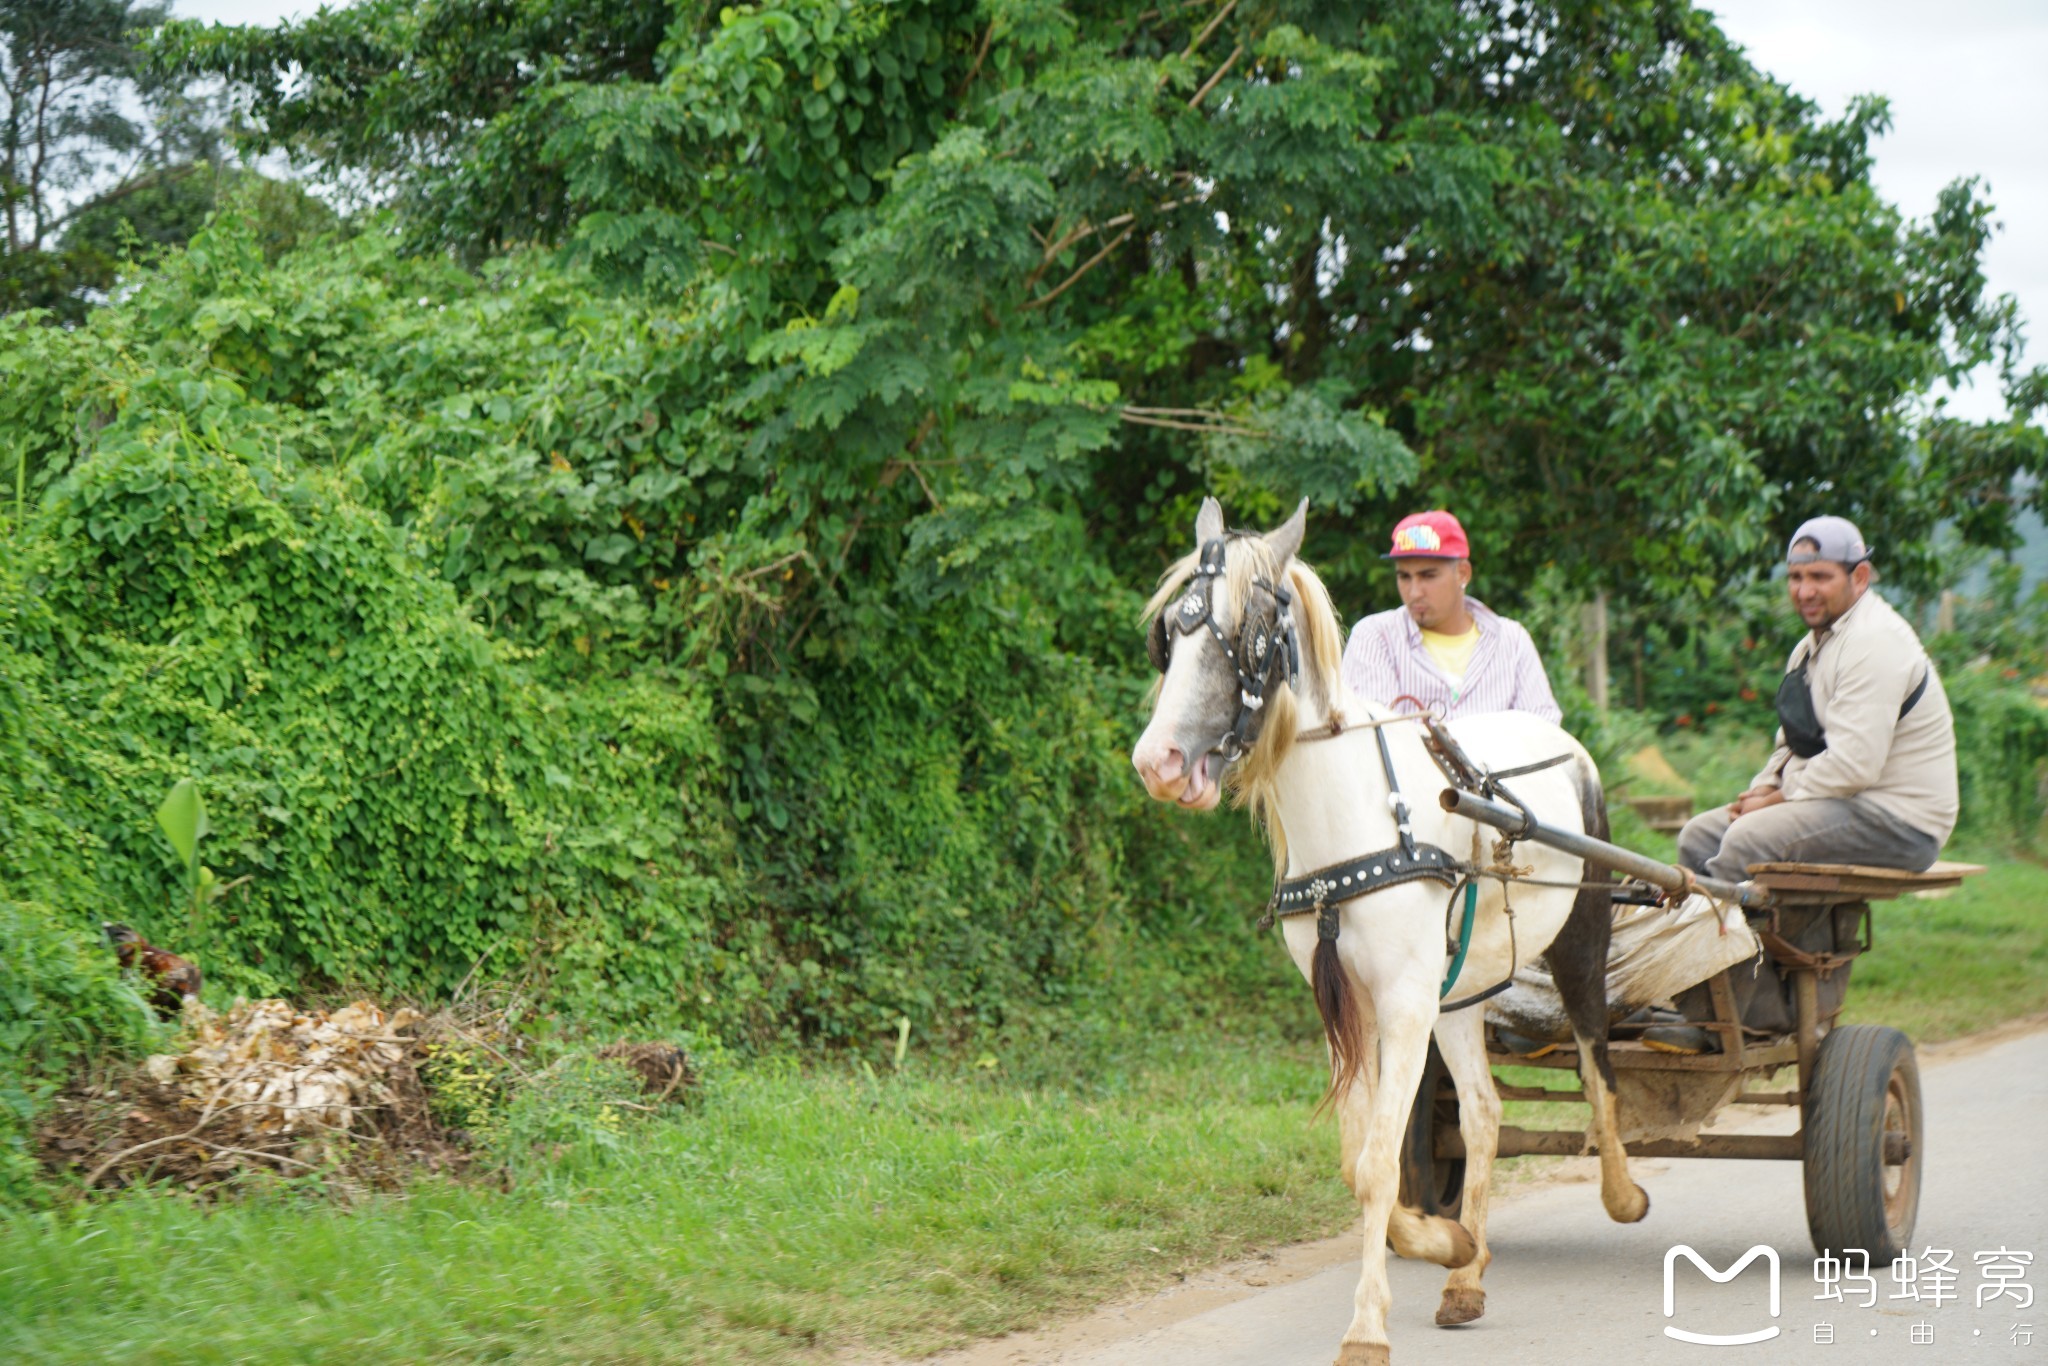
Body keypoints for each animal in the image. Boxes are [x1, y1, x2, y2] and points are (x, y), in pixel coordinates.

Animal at [1130, 499, 1638, 1366]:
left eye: (1250, 631)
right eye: (1171, 630)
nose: (1158, 761)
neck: (1355, 819)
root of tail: (1562, 743)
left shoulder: (1402, 1004)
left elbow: (1373, 1165)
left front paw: (1367, 1327)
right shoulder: (1350, 1004)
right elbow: (1360, 1159)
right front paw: (1443, 1241)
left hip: (1580, 936)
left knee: (1595, 1055)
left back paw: (1621, 1189)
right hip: (1463, 988)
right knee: (1483, 1111)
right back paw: (1467, 1275)